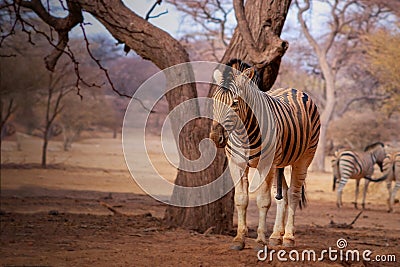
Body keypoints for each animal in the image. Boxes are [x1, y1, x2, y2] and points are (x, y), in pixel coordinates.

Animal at [209, 59, 318, 250]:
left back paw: (288, 238)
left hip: (304, 158)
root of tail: (293, 89)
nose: (216, 137)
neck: (243, 134)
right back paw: (276, 236)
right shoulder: (236, 164)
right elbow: (241, 199)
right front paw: (239, 239)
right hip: (279, 164)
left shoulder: (267, 165)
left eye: (235, 103)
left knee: (293, 194)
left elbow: (263, 201)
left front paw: (260, 241)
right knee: (283, 196)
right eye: (215, 101)